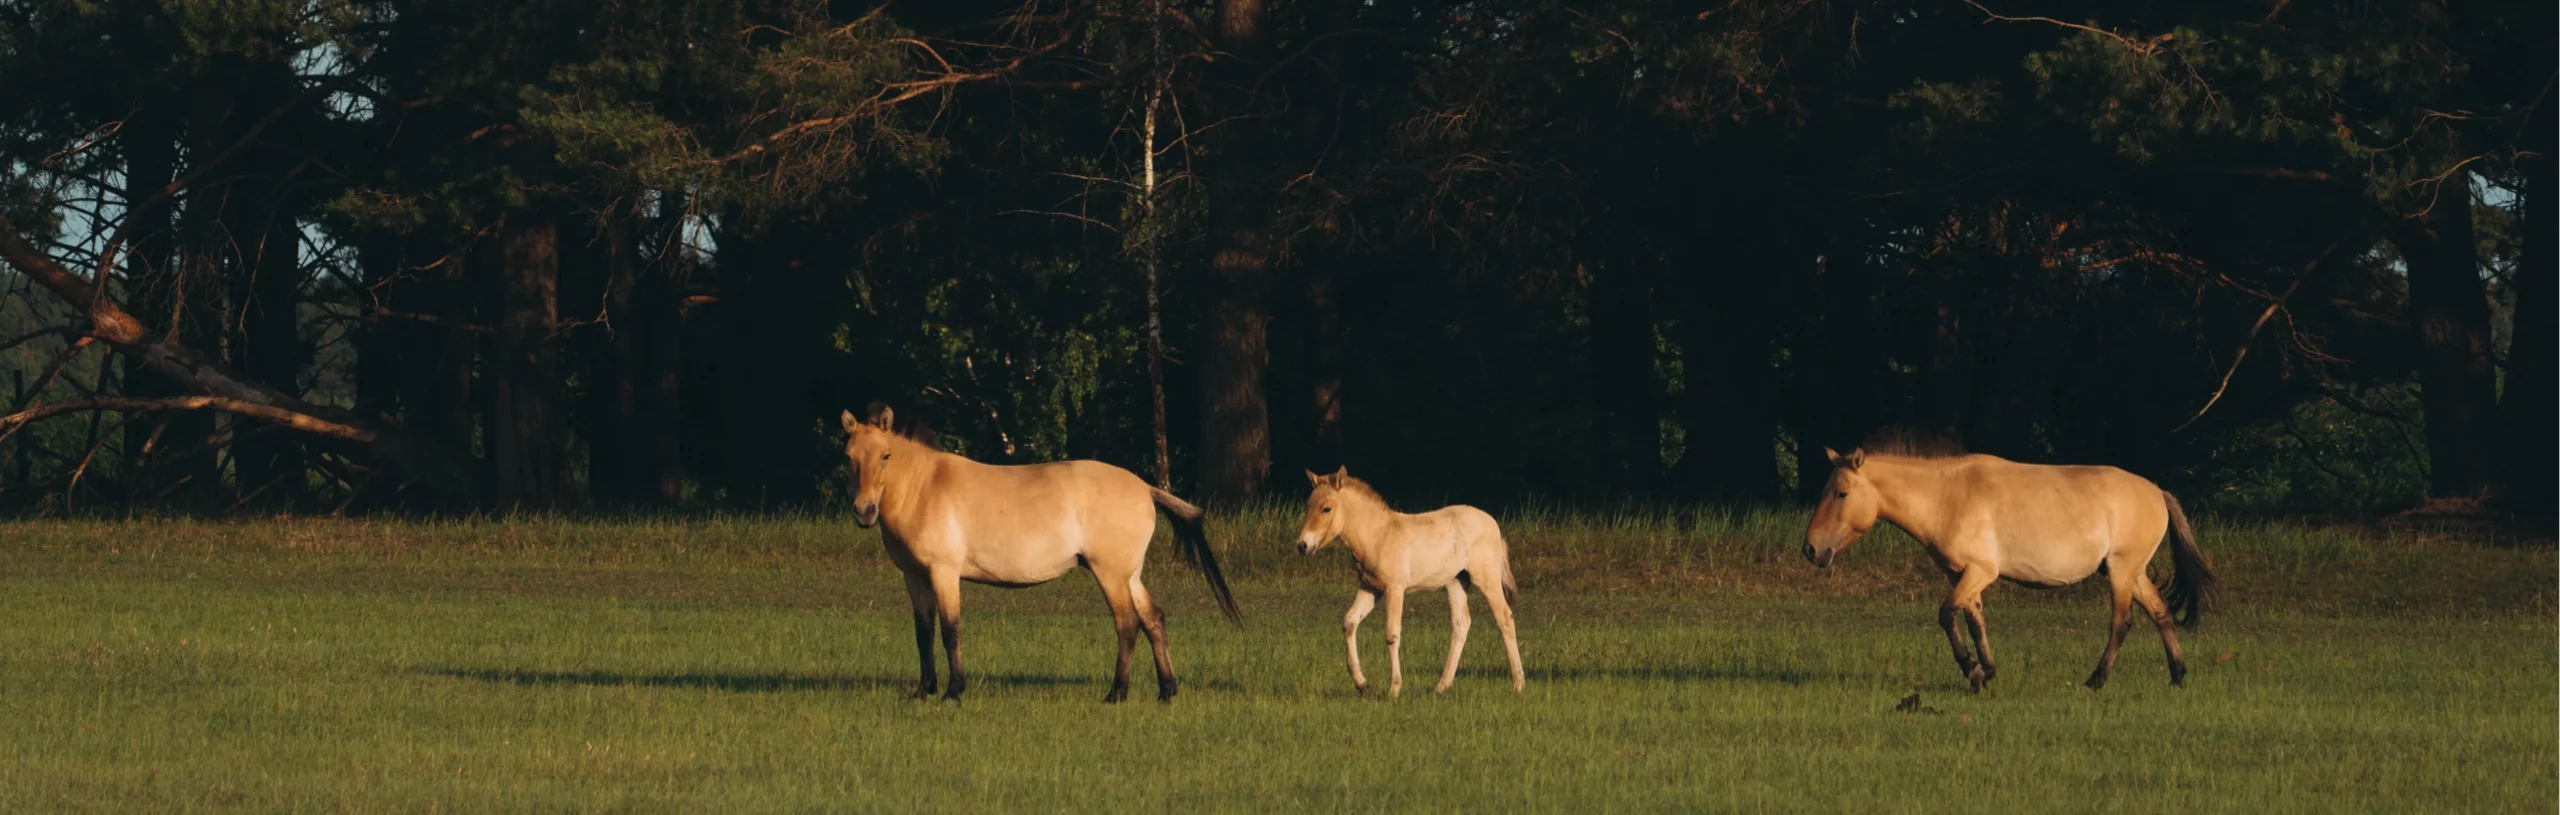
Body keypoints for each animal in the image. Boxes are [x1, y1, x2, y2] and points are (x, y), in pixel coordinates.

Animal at [840, 404, 1240, 704]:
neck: (924, 488)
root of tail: (1146, 488)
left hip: (1110, 574)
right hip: (1131, 575)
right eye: (849, 457)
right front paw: (923, 691)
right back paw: (1166, 691)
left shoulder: (944, 573)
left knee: (1127, 623)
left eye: (886, 455)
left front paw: (953, 692)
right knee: (1153, 619)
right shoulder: (915, 577)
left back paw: (1116, 693)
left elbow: (951, 630)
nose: (864, 512)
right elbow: (923, 632)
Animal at [1296, 468, 1523, 697]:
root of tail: (1493, 524)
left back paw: (1518, 683)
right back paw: (1442, 686)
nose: (1303, 545)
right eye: (1308, 506)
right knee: (1461, 623)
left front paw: (1394, 689)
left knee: (1505, 618)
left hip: (1487, 579)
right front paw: (1362, 684)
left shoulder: (1395, 589)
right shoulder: (1371, 587)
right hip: (1456, 582)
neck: (1379, 536)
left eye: (1326, 508)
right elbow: (1350, 622)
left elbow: (1392, 634)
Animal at [1802, 439, 2216, 692]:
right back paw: (2177, 676)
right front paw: (1985, 673)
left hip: (2121, 572)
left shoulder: (1979, 573)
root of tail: (2158, 493)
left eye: (1841, 494)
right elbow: (1975, 622)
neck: (1946, 498)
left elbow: (1946, 615)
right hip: (2134, 573)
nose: (1810, 549)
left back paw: (2095, 681)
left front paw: (1971, 669)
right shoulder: (1963, 575)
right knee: (2161, 613)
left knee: (2123, 622)